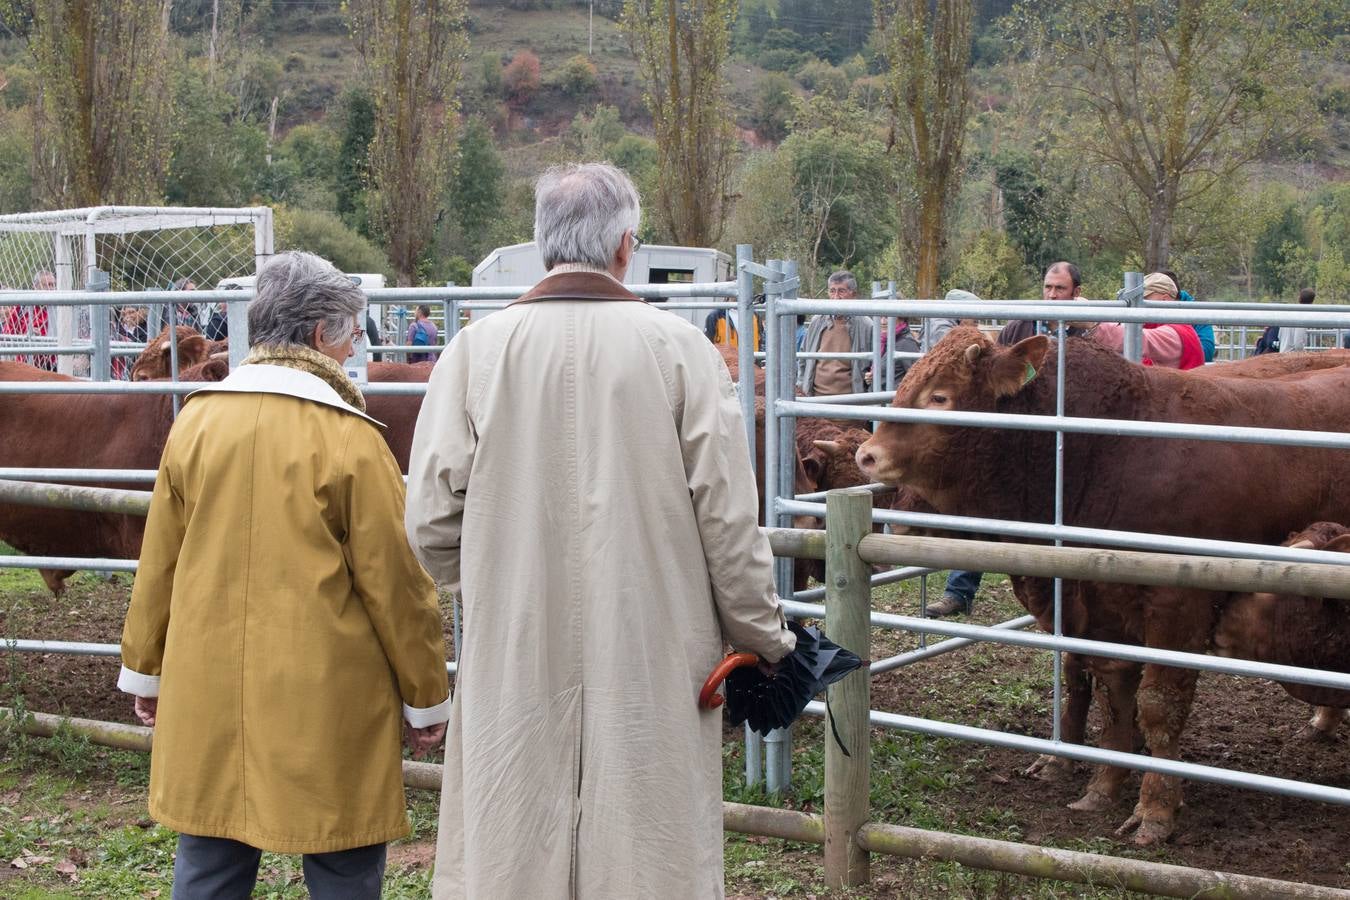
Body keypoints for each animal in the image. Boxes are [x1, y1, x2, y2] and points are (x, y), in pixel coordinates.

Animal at [853, 329, 1350, 847]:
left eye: (940, 396)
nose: (866, 454)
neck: (1108, 453)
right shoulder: (1100, 604)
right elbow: (1112, 693)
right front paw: (1103, 783)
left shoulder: (1179, 606)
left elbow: (1158, 705)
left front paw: (1155, 808)